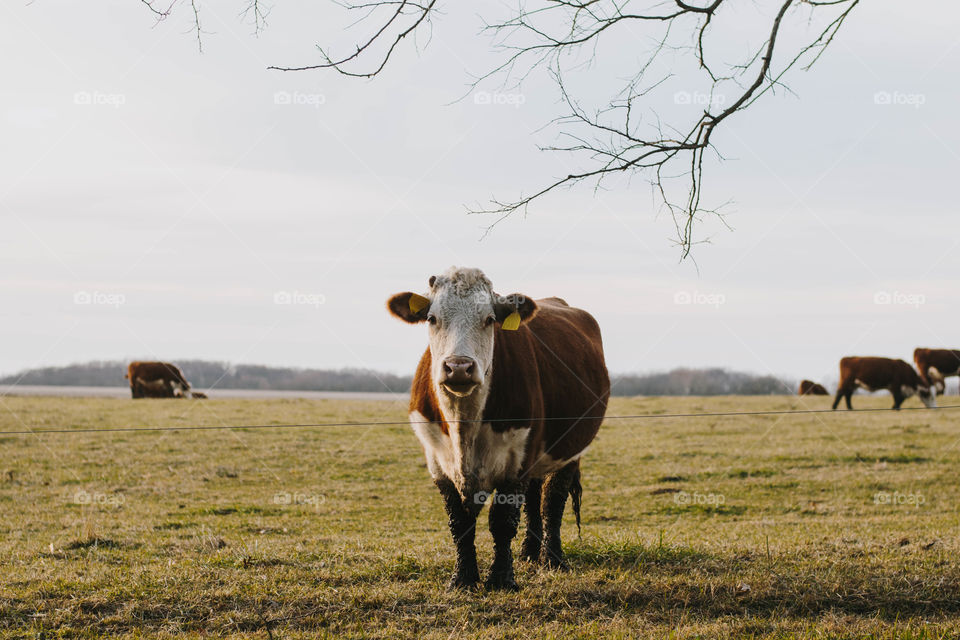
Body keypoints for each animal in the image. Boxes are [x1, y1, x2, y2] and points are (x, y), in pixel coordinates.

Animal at [388, 267, 609, 591]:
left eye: (489, 319)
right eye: (432, 318)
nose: (458, 367)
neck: (464, 424)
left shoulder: (516, 461)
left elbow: (503, 521)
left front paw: (501, 579)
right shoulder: (437, 462)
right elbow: (460, 522)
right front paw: (463, 579)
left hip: (570, 449)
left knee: (552, 500)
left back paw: (553, 559)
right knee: (533, 498)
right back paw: (529, 552)